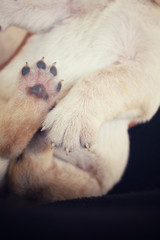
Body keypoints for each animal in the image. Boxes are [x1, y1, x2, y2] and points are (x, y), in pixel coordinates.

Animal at [0, 0, 160, 202]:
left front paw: (73, 116)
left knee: (29, 175)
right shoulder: (62, 7)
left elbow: (105, 78)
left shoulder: (147, 73)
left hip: (91, 182)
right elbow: (26, 5)